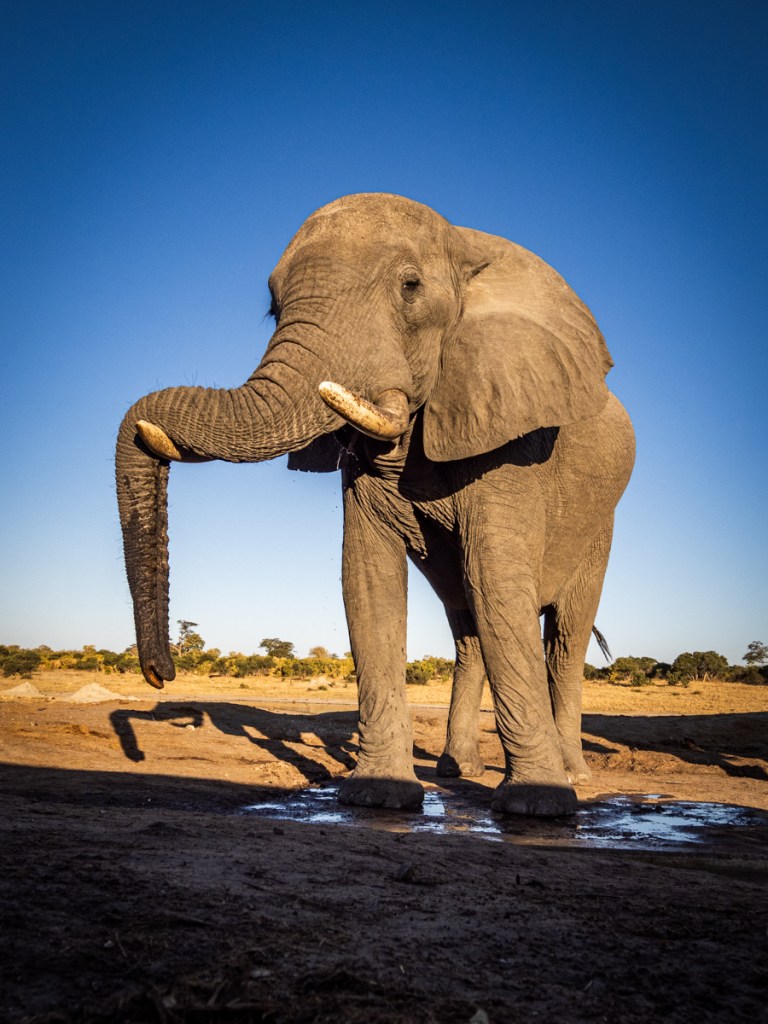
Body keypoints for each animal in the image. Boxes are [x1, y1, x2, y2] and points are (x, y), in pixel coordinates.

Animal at [116, 193, 635, 817]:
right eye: (272, 308)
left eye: (410, 287)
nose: (160, 674)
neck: (467, 248)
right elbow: (367, 577)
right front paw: (378, 797)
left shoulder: (514, 433)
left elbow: (495, 576)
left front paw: (537, 804)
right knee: (467, 625)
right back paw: (458, 769)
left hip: (600, 522)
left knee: (563, 635)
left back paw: (573, 776)